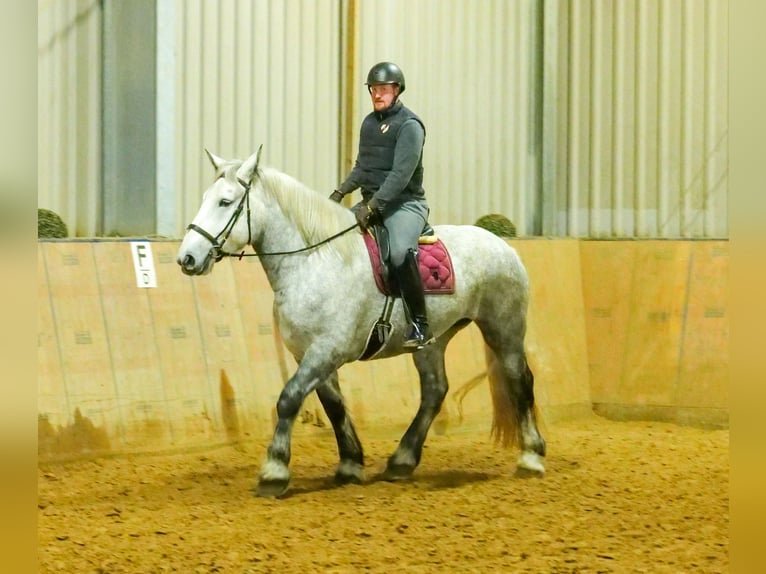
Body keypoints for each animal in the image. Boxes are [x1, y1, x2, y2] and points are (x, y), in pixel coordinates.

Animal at [177, 150, 548, 500]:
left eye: (225, 202)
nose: (187, 259)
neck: (313, 260)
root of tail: (500, 243)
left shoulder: (327, 349)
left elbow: (289, 398)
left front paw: (274, 472)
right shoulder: (309, 353)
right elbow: (334, 406)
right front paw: (350, 464)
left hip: (504, 329)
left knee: (519, 380)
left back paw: (531, 458)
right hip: (433, 340)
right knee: (435, 390)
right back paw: (402, 461)